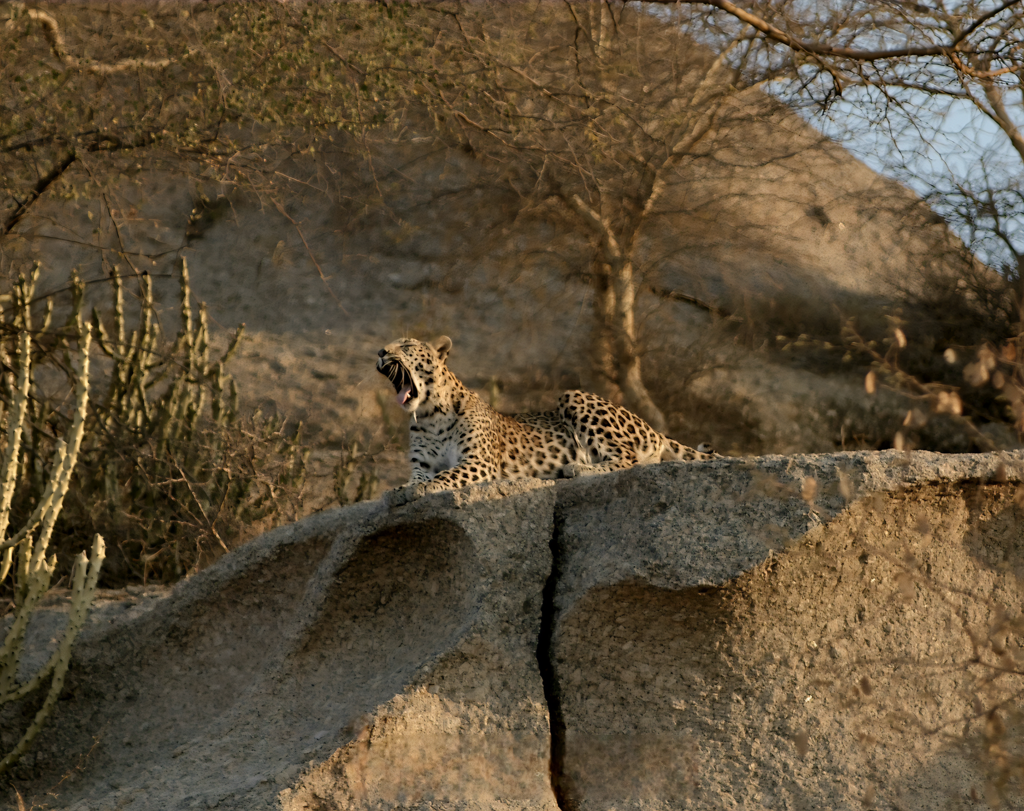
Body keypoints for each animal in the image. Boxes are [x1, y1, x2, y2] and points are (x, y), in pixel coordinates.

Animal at [376, 335, 719, 506]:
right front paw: (400, 489)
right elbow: (416, 477)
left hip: (574, 395)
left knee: (628, 459)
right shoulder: (422, 463)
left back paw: (577, 468)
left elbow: (446, 476)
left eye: (406, 345)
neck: (430, 413)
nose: (380, 351)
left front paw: (422, 489)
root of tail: (654, 429)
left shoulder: (478, 462)